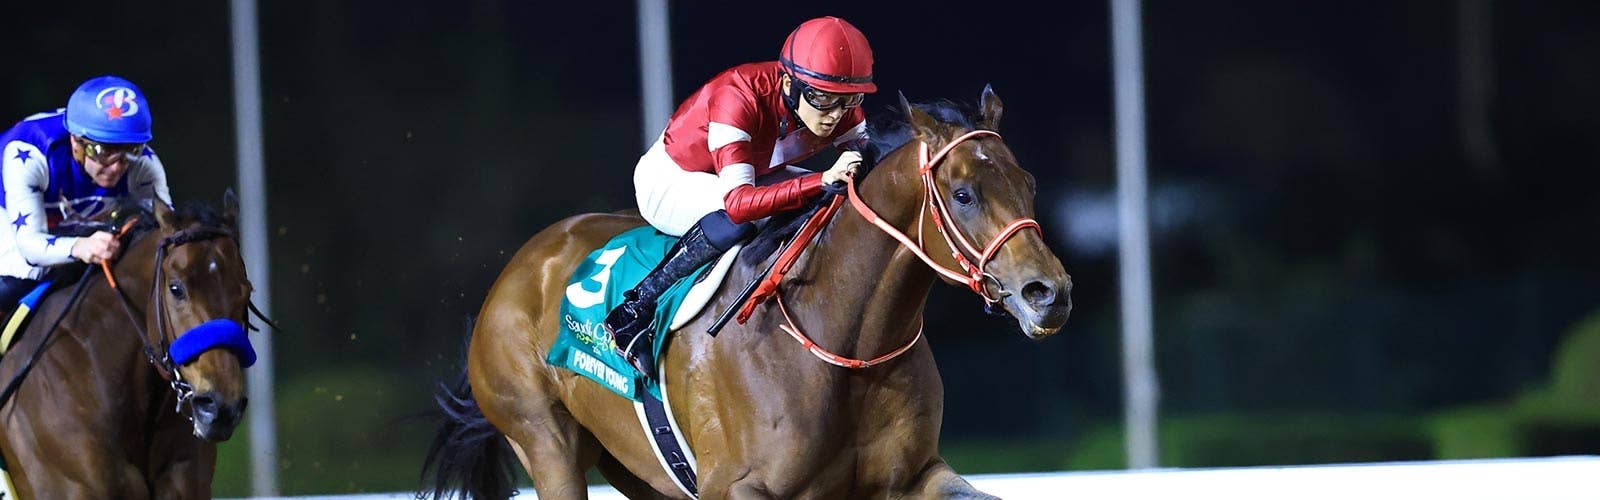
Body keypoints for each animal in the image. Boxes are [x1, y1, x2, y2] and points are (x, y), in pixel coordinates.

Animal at [423, 87, 1072, 499]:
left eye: (1028, 182)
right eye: (963, 194)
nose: (1049, 292)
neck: (846, 339)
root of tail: (518, 268)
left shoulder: (914, 476)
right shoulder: (736, 487)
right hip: (543, 437)